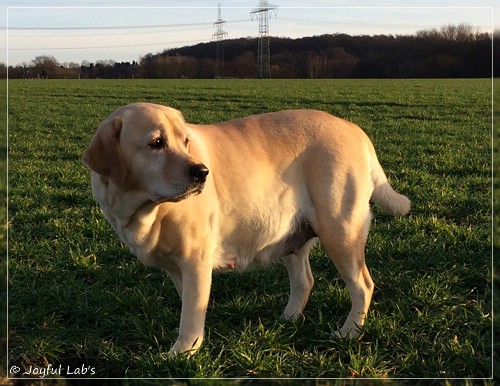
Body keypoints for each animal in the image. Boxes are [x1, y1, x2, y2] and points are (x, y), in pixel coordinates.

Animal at [83, 102, 410, 356]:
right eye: (156, 143)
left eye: (185, 141)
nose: (202, 172)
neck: (146, 209)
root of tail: (355, 129)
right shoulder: (177, 268)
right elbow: (189, 304)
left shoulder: (195, 261)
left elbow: (191, 312)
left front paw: (182, 352)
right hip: (291, 235)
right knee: (304, 281)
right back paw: (287, 319)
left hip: (340, 231)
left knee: (362, 285)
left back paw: (348, 332)